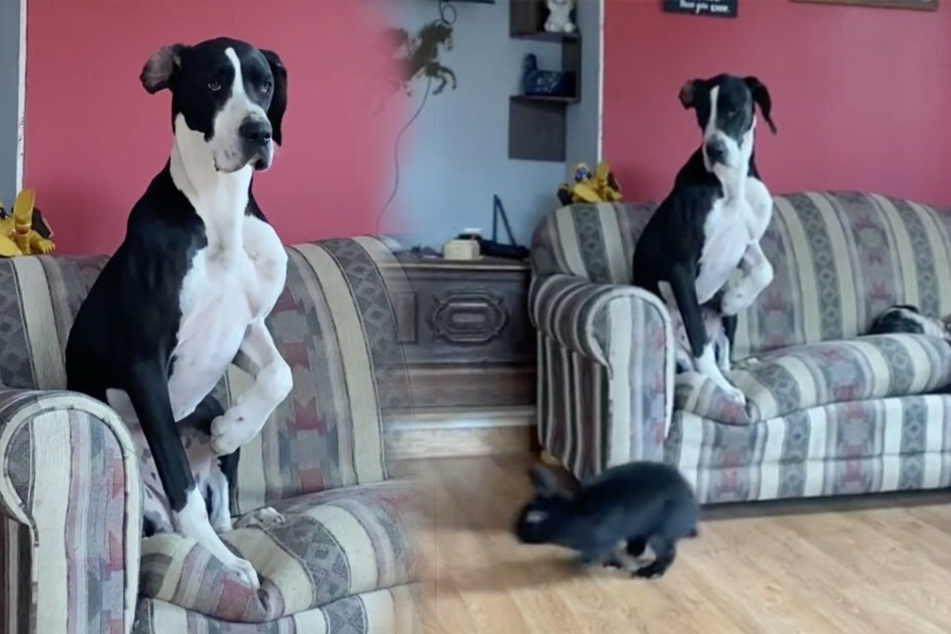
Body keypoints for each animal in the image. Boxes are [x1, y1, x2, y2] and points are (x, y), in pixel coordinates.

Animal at [65, 37, 292, 584]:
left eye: (264, 84)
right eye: (213, 83)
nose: (259, 131)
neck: (218, 210)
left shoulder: (247, 328)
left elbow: (281, 374)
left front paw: (233, 430)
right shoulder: (145, 363)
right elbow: (181, 484)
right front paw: (221, 562)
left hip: (206, 406)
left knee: (222, 501)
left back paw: (249, 509)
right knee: (181, 500)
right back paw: (222, 552)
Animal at [512, 460, 700, 576]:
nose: (515, 535)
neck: (569, 512)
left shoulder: (602, 540)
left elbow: (602, 552)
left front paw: (587, 563)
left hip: (660, 534)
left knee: (668, 554)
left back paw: (649, 572)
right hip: (639, 526)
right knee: (639, 543)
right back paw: (631, 552)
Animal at [628, 74, 776, 400]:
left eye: (734, 110)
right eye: (701, 112)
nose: (715, 149)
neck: (730, 184)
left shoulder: (747, 244)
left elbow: (765, 270)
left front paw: (735, 299)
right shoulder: (680, 266)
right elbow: (700, 342)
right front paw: (722, 388)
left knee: (724, 352)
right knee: (696, 353)